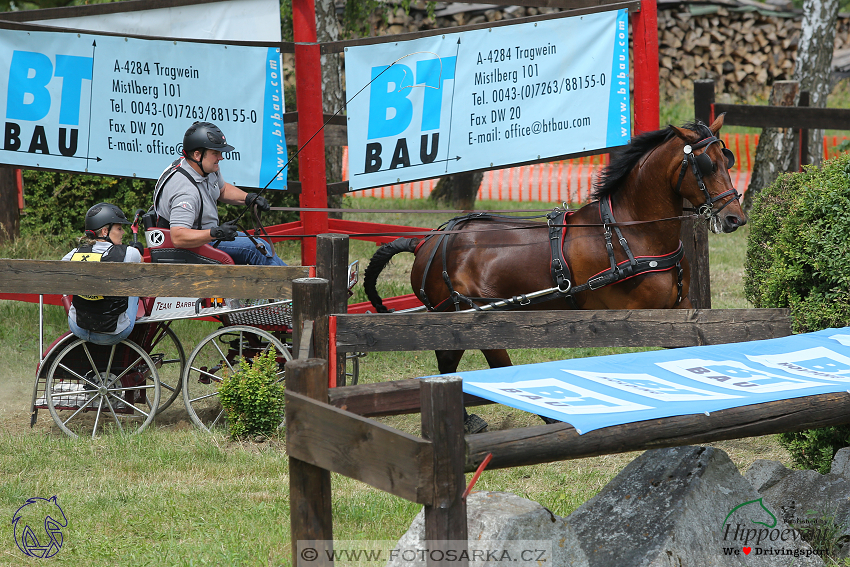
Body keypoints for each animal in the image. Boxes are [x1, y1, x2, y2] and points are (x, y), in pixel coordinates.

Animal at [362, 116, 744, 430]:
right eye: (707, 164)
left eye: (728, 159)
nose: (735, 218)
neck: (629, 232)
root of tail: (427, 243)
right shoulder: (640, 316)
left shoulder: (679, 309)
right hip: (470, 316)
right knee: (484, 363)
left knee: (450, 362)